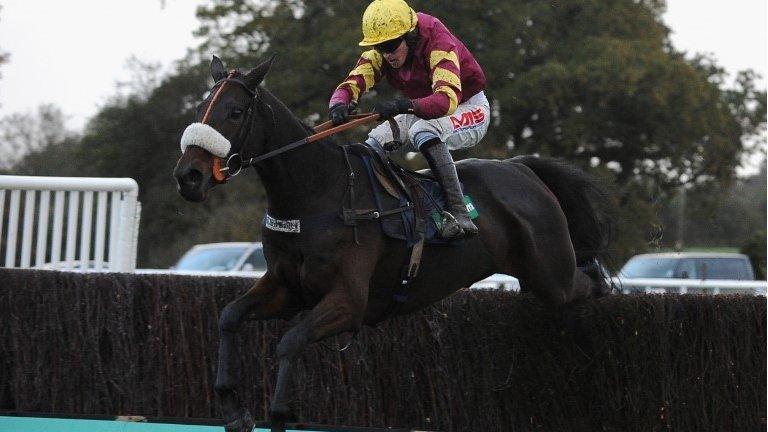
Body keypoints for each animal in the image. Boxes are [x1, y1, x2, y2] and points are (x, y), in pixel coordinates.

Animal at [174, 57, 612, 432]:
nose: (188, 176)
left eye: (234, 112)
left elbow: (289, 343)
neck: (317, 194)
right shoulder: (288, 288)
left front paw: (279, 415)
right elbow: (229, 316)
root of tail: (523, 169)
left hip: (550, 273)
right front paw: (234, 410)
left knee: (587, 282)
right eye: (201, 110)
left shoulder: (349, 301)